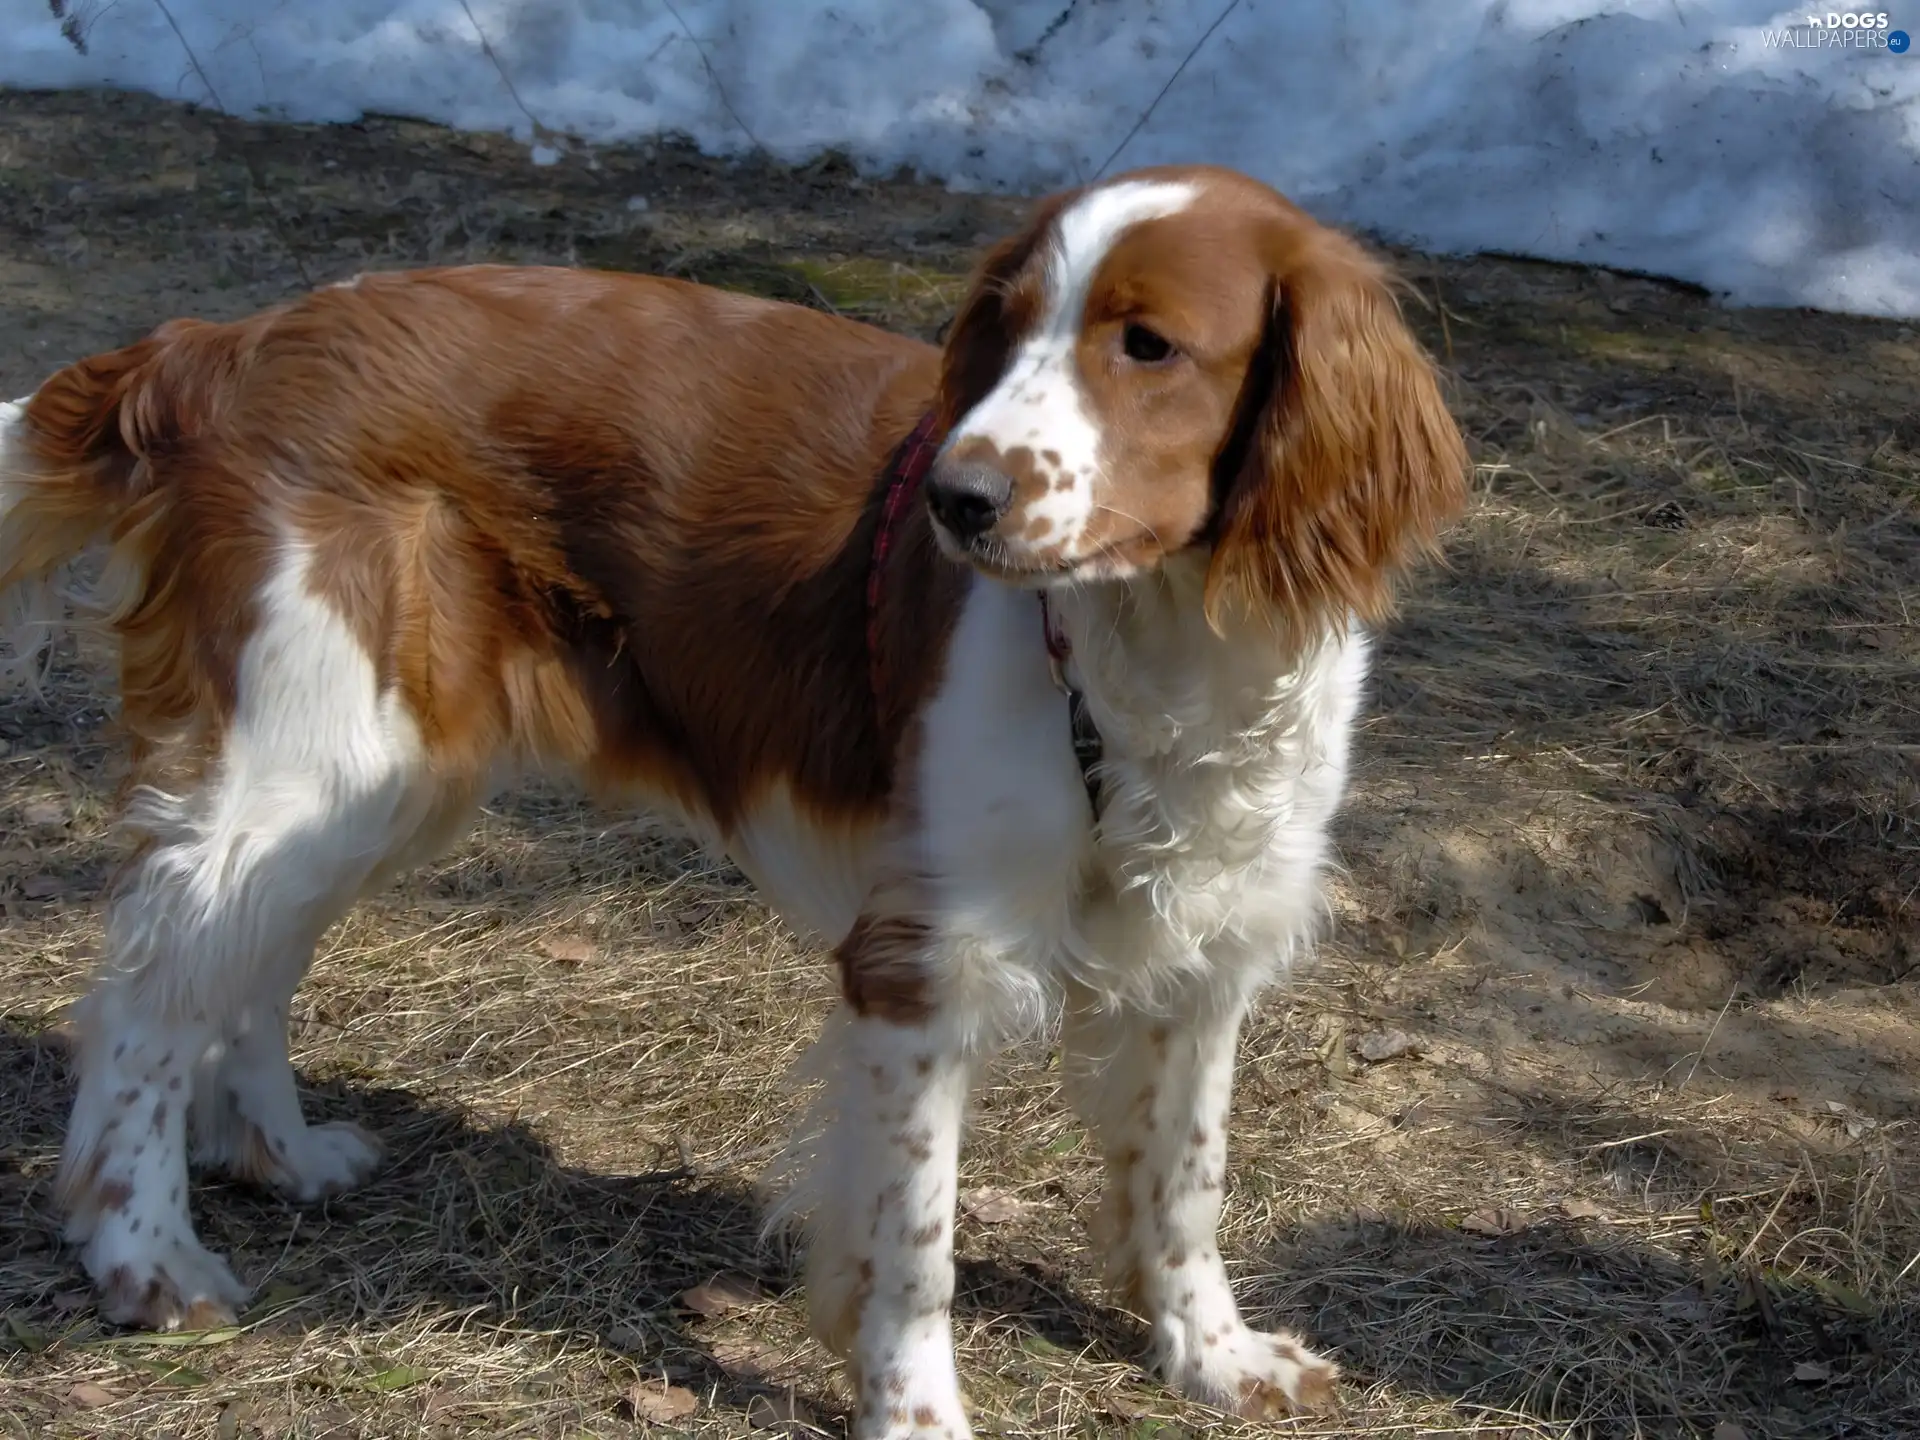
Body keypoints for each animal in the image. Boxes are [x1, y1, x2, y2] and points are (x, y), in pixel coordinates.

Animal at [0, 166, 1459, 1436]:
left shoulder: (1208, 942)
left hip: (372, 774)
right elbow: (917, 1237)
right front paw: (915, 1414)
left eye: (1147, 344)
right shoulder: (921, 962)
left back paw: (279, 1153)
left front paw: (1215, 1357)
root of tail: (221, 346)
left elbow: (1185, 1177)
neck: (1154, 652)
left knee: (246, 967)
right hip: (305, 747)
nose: (956, 497)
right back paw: (145, 1255)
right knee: (142, 1002)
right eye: (1002, 329)